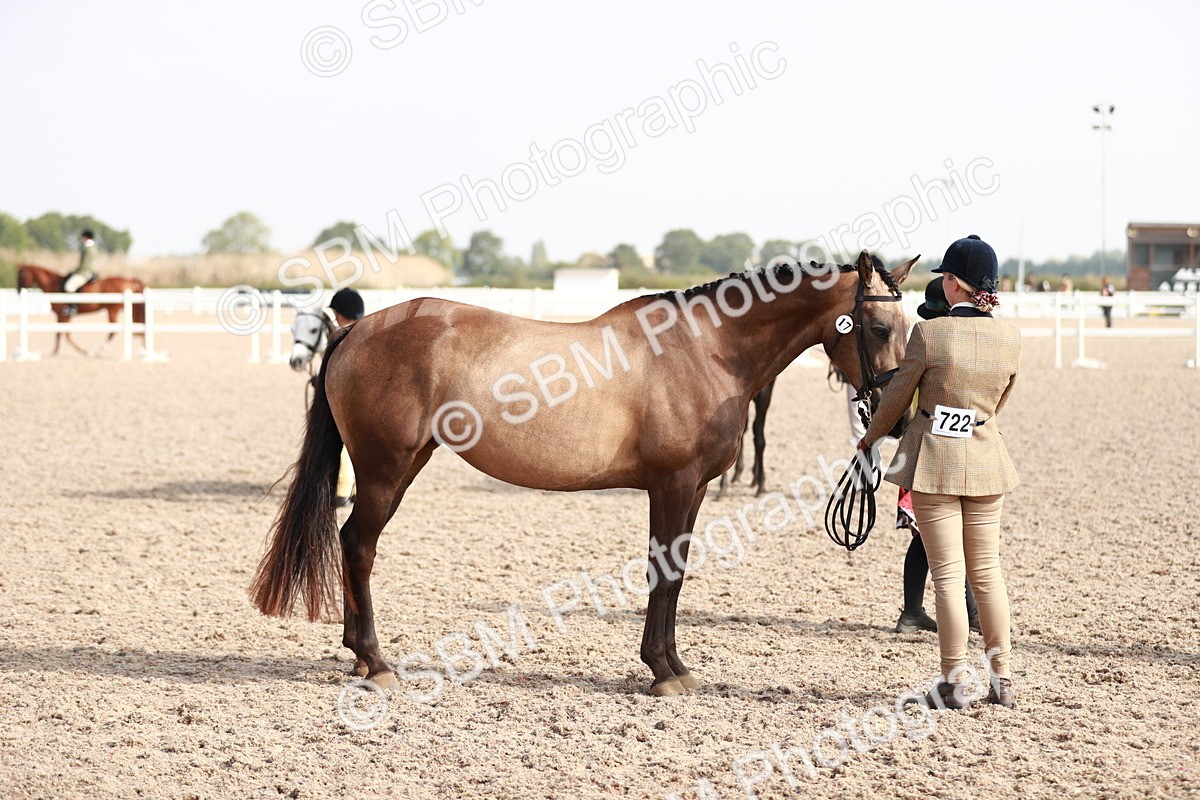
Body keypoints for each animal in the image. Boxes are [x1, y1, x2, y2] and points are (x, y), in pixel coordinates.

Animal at [15, 264, 146, 357]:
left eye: (21, 275)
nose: (18, 290)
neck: (53, 285)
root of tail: (129, 280)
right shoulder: (61, 316)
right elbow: (59, 334)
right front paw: (54, 352)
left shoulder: (64, 315)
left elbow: (66, 335)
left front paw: (84, 351)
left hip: (112, 309)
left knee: (113, 330)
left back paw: (100, 351)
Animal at [250, 251, 916, 696]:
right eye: (880, 327)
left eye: (912, 326)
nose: (899, 414)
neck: (706, 348)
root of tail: (356, 329)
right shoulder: (672, 484)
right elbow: (663, 572)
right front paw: (662, 672)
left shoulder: (694, 488)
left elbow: (674, 573)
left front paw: (675, 666)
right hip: (385, 469)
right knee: (358, 546)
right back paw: (377, 661)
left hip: (402, 464)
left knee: (353, 545)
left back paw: (362, 659)